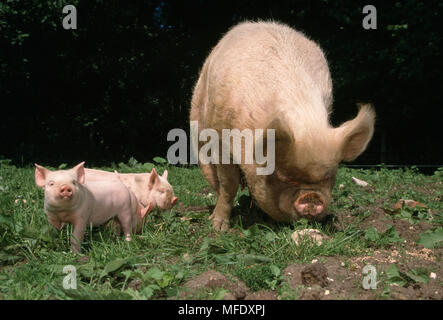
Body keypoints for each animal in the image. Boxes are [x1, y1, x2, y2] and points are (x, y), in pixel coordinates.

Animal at [189, 21, 376, 230]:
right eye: (283, 177)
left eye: (329, 177)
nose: (311, 197)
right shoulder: (221, 139)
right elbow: (228, 185)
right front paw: (219, 228)